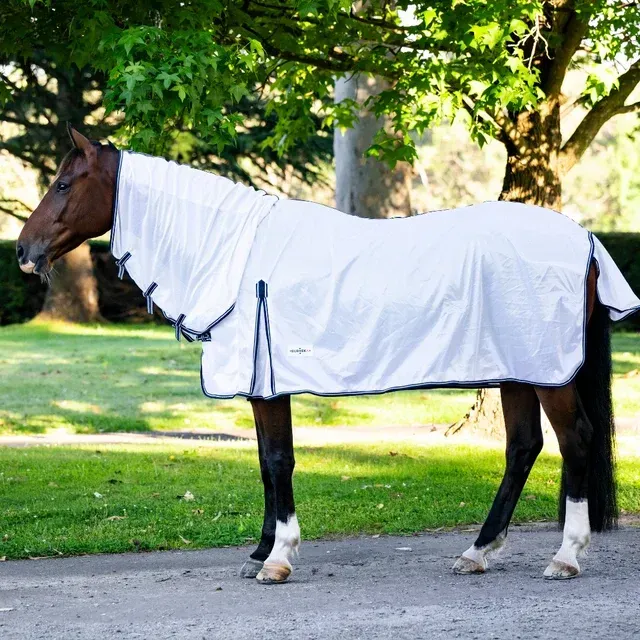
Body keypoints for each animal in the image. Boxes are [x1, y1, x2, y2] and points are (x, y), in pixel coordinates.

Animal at [16, 125, 638, 584]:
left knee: (575, 440)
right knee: (523, 447)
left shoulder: (268, 384)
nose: (23, 250)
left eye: (65, 184)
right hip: (517, 369)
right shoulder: (262, 384)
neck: (235, 254)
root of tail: (585, 239)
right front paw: (261, 550)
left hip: (550, 373)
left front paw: (278, 558)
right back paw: (478, 552)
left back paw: (565, 557)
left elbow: (277, 461)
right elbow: (266, 460)